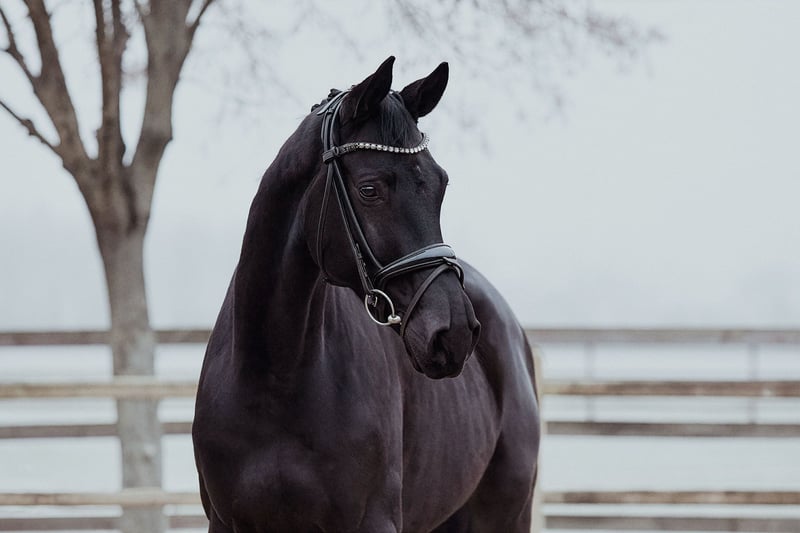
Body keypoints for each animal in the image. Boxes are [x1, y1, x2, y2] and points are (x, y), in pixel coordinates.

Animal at [192, 56, 540, 532]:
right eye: (370, 189)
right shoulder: (227, 522)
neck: (274, 376)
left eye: (441, 184)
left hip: (505, 514)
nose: (454, 332)